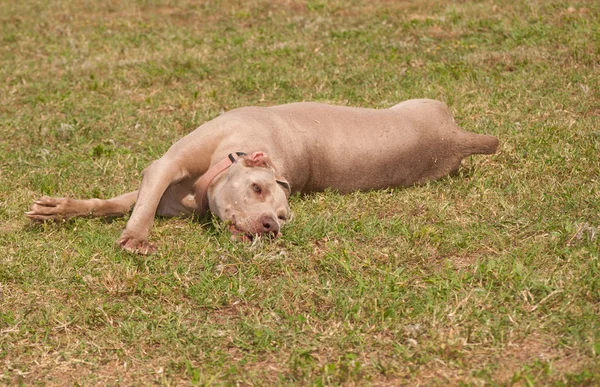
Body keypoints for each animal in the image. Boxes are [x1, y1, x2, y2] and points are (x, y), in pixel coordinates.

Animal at [25, 99, 500, 255]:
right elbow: (120, 203)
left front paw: (134, 238)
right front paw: (61, 210)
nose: (271, 225)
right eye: (256, 188)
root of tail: (456, 138)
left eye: (284, 216)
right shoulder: (162, 175)